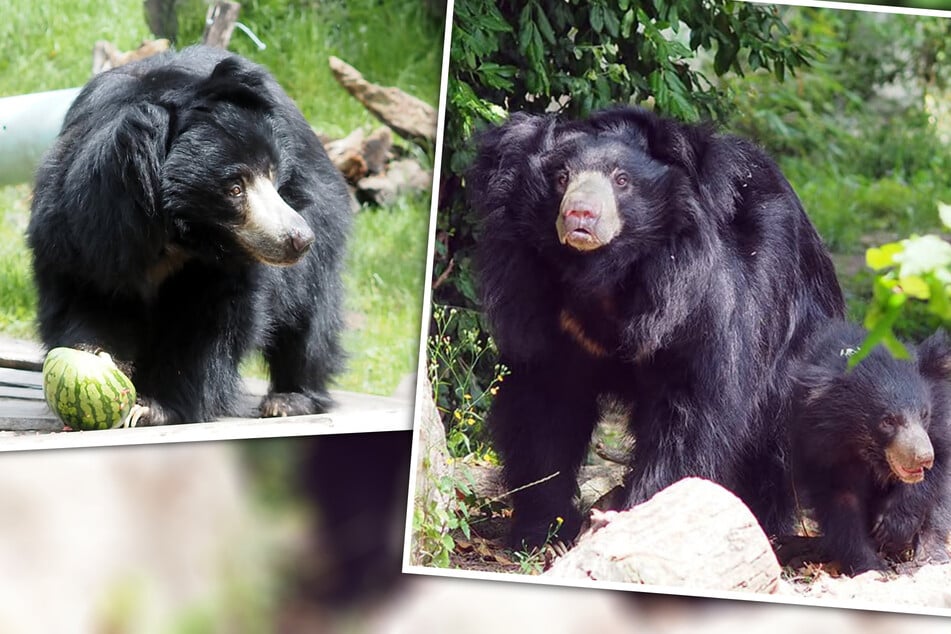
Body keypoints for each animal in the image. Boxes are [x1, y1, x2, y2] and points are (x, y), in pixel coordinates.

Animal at [27, 46, 351, 426]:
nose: (299, 238)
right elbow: (86, 298)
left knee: (309, 320)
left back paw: (289, 398)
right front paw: (95, 360)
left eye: (273, 173)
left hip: (322, 217)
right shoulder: (81, 235)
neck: (177, 238)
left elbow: (210, 326)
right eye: (234, 188)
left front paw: (154, 407)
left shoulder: (223, 269)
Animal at [466, 107, 845, 548]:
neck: (604, 272)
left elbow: (687, 414)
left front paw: (643, 517)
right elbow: (544, 409)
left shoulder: (698, 305)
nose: (580, 214)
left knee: (772, 446)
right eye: (561, 177)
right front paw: (543, 529)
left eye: (621, 180)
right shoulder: (538, 306)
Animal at [790, 320, 951, 575]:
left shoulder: (939, 423)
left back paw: (930, 555)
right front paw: (870, 566)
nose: (923, 458)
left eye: (924, 414)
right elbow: (841, 502)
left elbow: (935, 471)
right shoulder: (819, 448)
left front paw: (893, 527)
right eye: (888, 421)